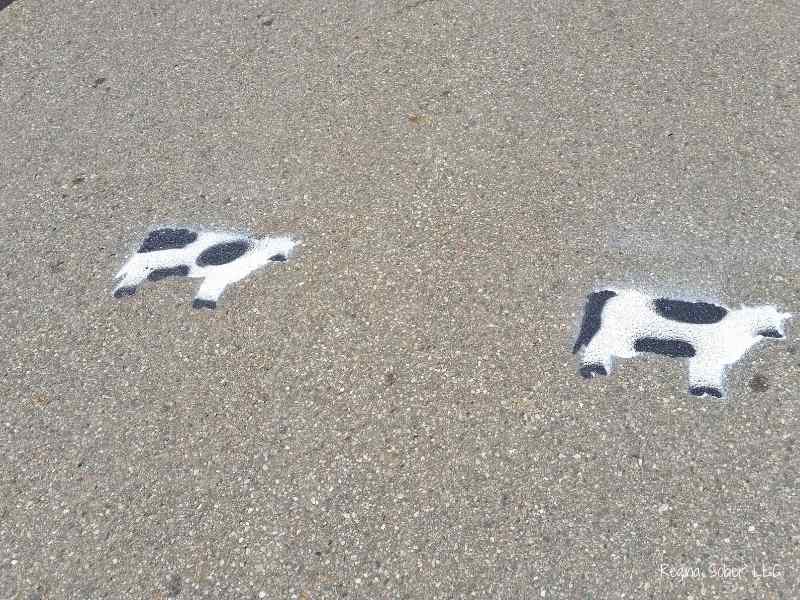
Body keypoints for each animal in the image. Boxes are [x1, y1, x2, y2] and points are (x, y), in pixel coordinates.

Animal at [113, 226, 299, 309]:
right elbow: (209, 289)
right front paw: (204, 304)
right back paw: (124, 291)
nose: (285, 259)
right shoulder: (220, 273)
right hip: (148, 261)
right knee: (133, 276)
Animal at [572, 288, 791, 398]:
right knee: (595, 348)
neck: (740, 328)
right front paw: (706, 392)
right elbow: (705, 378)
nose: (782, 335)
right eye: (776, 325)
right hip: (616, 337)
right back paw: (593, 369)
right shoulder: (706, 359)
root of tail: (611, 294)